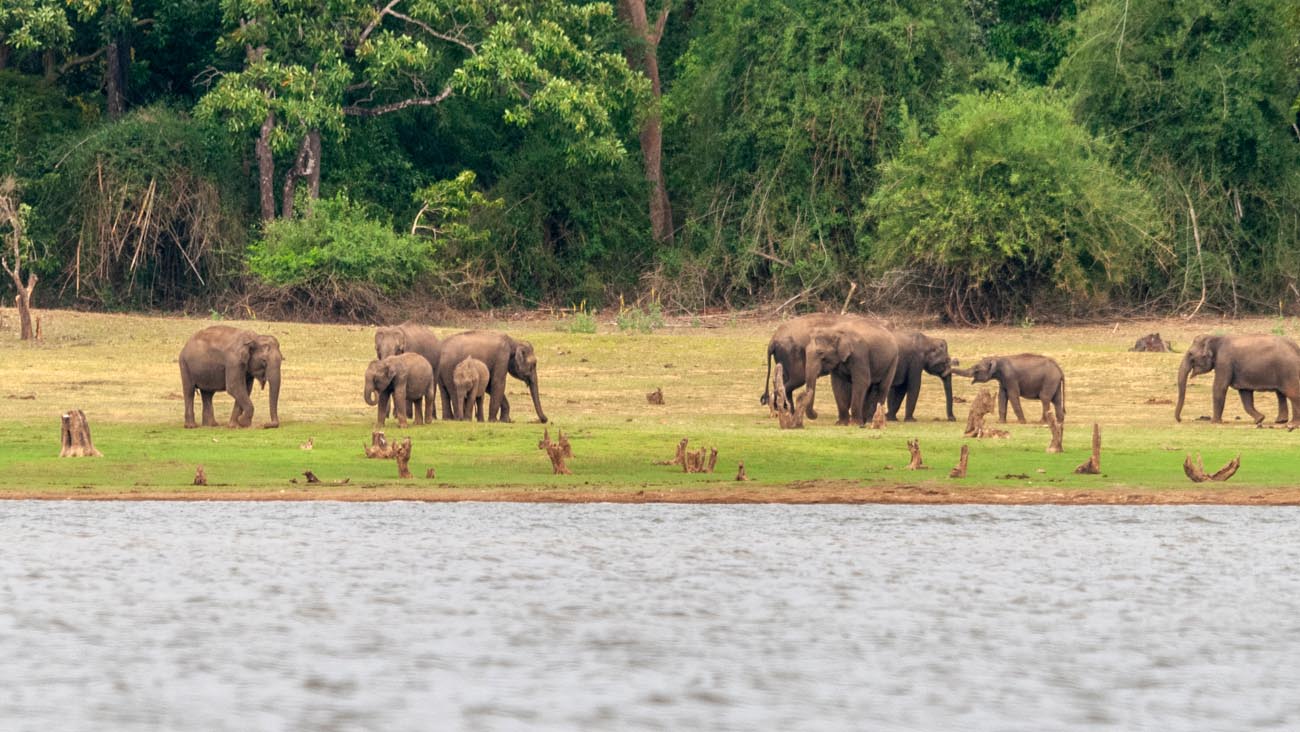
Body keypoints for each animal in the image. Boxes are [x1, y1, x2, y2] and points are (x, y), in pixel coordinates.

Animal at [759, 312, 894, 421]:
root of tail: (773, 339)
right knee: (795, 379)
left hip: (783, 357)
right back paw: (782, 411)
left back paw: (784, 411)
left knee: (783, 380)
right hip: (790, 354)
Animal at [1170, 335, 1300, 426]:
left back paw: (1292, 424)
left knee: (1292, 393)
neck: (1216, 338)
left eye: (1191, 354)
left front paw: (1215, 422)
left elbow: (1219, 387)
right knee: (1282, 393)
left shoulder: (1224, 362)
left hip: (1288, 370)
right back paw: (1281, 421)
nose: (1180, 419)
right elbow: (1245, 395)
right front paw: (1259, 419)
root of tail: (1296, 348)